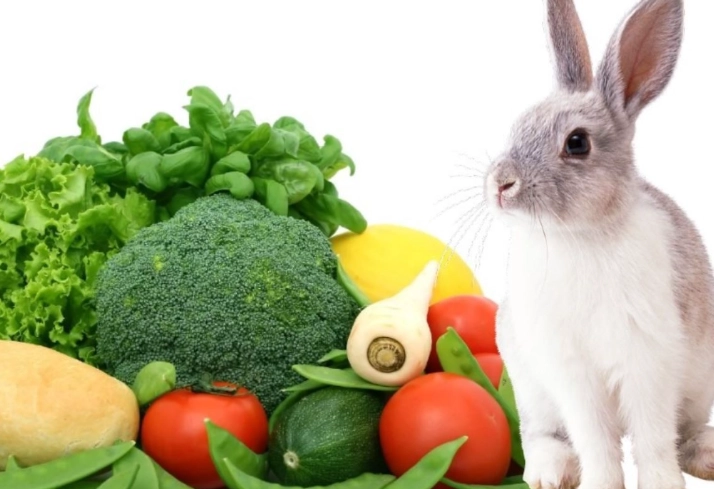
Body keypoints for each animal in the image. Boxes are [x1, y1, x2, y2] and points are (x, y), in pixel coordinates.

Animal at [481, 0, 714, 488]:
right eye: (518, 126)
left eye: (577, 143)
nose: (500, 184)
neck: (580, 236)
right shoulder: (573, 374)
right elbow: (596, 439)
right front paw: (602, 483)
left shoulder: (649, 360)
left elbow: (652, 438)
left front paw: (663, 483)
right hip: (531, 390)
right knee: (541, 435)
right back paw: (550, 473)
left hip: (699, 385)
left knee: (685, 430)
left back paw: (708, 455)